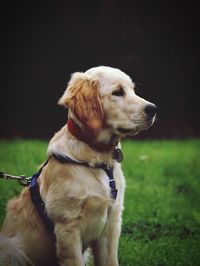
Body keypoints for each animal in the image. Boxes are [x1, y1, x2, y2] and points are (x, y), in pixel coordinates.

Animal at [0, 65, 156, 264]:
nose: (153, 109)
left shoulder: (111, 225)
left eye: (133, 90)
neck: (98, 156)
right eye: (118, 92)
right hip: (11, 250)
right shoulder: (67, 227)